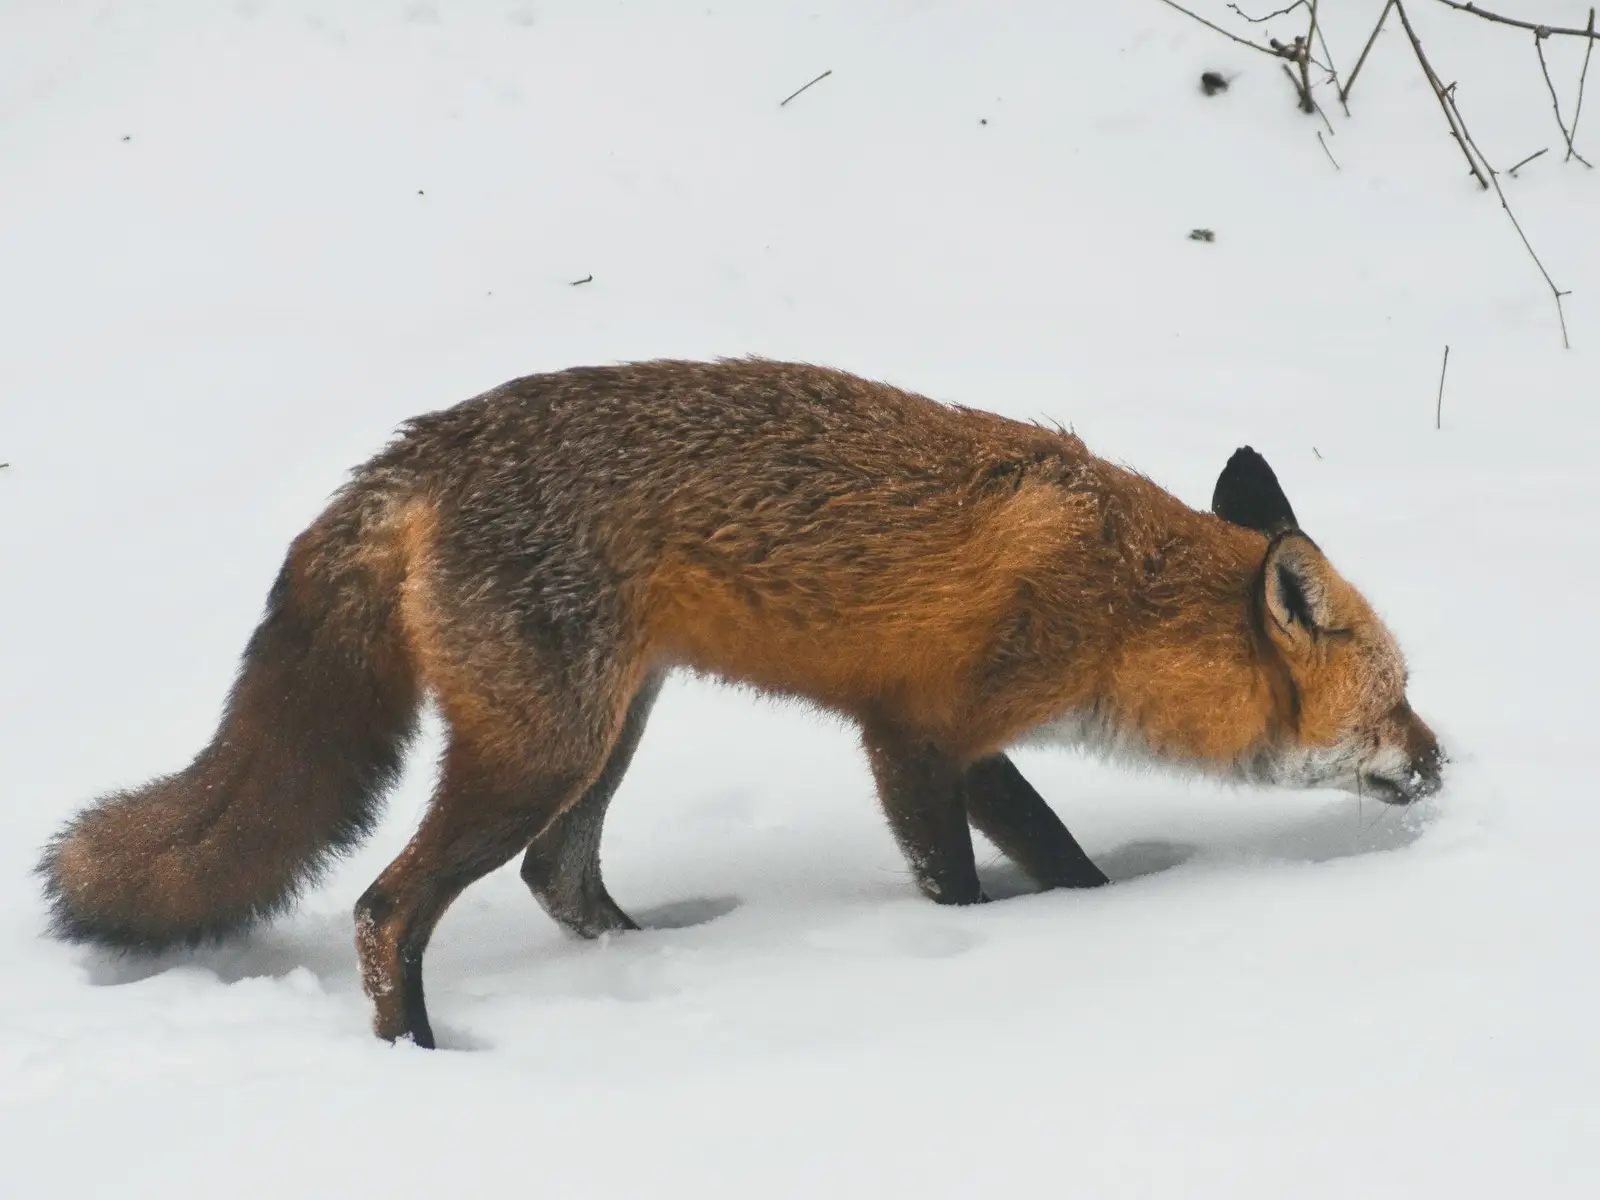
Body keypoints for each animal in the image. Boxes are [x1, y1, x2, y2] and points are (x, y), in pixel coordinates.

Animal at [38, 359, 1444, 1047]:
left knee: (560, 879)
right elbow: (970, 885)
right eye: (1397, 696)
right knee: (389, 911)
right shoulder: (917, 735)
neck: (1119, 589)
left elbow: (1067, 864)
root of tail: (414, 453)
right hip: (543, 749)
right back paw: (421, 1064)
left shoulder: (966, 748)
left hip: (610, 725)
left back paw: (670, 963)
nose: (1443, 764)